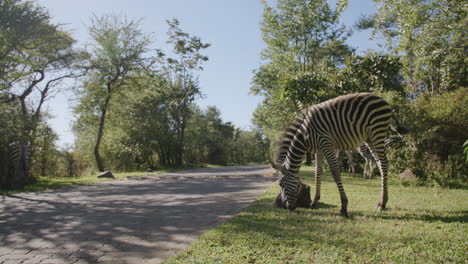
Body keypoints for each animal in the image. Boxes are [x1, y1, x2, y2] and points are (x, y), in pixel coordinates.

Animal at [268, 93, 408, 217]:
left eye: (281, 184)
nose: (286, 207)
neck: (305, 135)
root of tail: (384, 100)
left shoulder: (326, 144)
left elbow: (335, 172)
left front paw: (344, 206)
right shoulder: (318, 150)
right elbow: (317, 172)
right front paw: (314, 201)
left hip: (377, 132)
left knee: (383, 163)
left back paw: (382, 203)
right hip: (370, 138)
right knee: (379, 162)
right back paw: (381, 200)